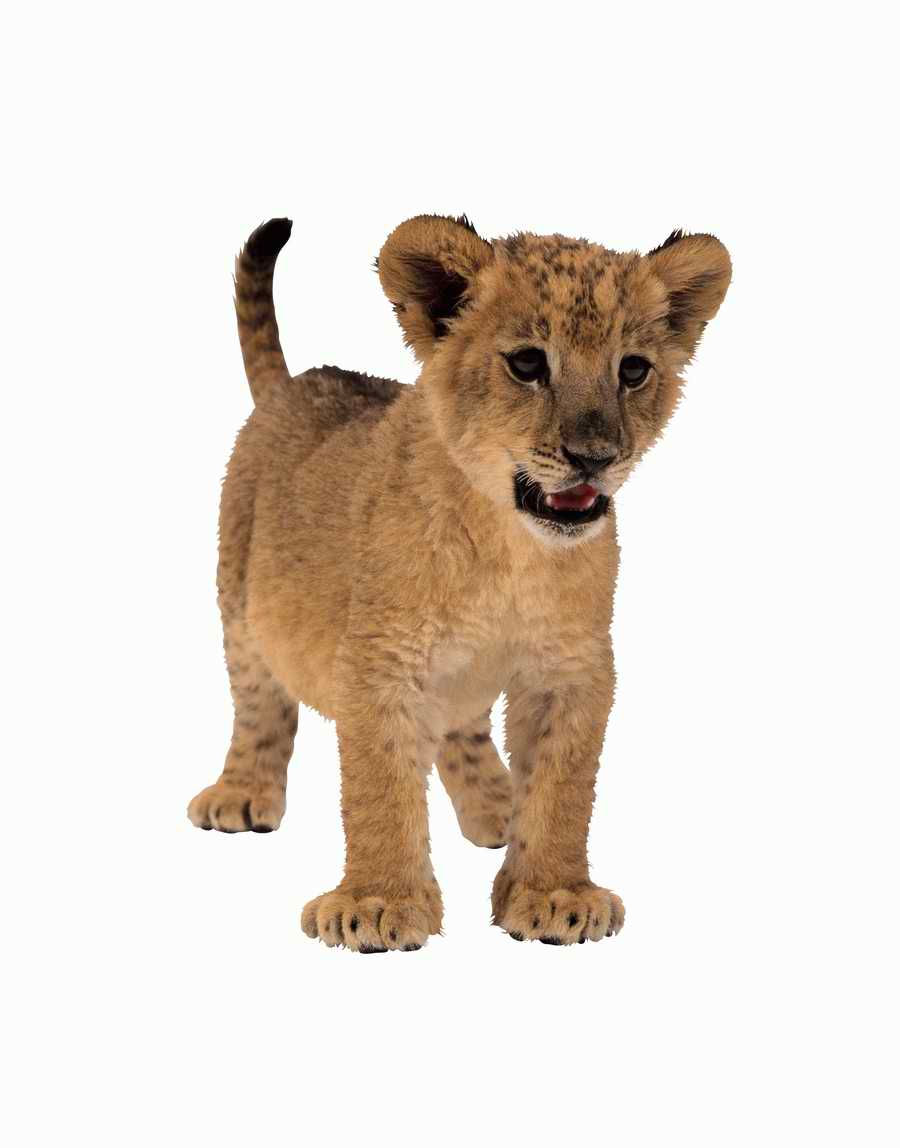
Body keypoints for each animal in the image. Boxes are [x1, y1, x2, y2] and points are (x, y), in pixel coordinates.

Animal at [187, 214, 731, 952]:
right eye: (528, 364)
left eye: (633, 370)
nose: (595, 458)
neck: (509, 549)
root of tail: (296, 383)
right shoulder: (378, 660)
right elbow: (379, 787)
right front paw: (378, 904)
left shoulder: (574, 665)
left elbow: (563, 786)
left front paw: (554, 893)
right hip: (238, 596)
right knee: (257, 701)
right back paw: (241, 793)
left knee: (462, 729)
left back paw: (497, 809)